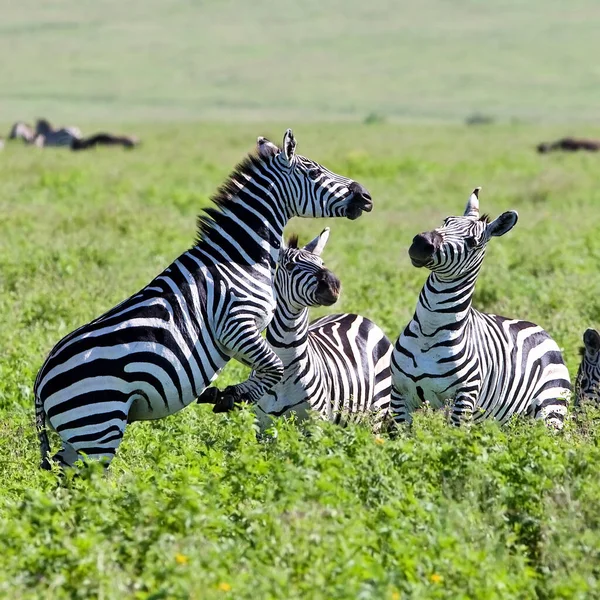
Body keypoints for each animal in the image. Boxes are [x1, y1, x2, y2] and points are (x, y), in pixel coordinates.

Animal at [35, 127, 372, 468]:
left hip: (79, 437)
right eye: (315, 172)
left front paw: (226, 395)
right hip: (97, 427)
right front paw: (231, 396)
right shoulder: (235, 323)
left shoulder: (239, 336)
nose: (366, 197)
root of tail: (40, 380)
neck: (237, 258)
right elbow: (274, 365)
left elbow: (269, 367)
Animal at [241, 227, 392, 428]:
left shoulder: (315, 424)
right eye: (290, 266)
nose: (334, 285)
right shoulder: (261, 424)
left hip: (376, 414)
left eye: (322, 263)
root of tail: (356, 315)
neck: (286, 360)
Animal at [390, 188, 572, 426]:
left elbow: (452, 437)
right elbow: (399, 436)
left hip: (551, 408)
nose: (422, 242)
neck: (429, 330)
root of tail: (540, 329)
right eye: (446, 221)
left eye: (472, 241)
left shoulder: (464, 398)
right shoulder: (399, 392)